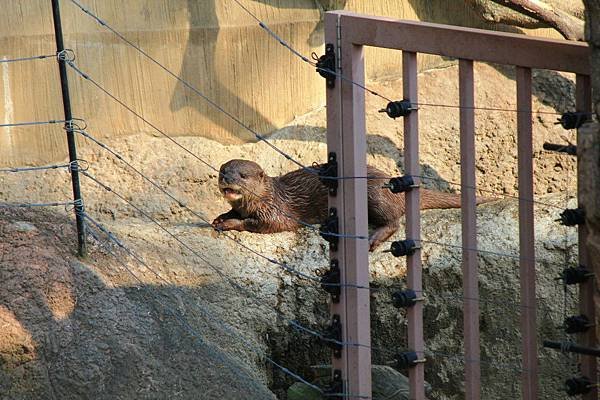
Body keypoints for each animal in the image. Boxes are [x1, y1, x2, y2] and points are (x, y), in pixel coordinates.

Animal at [213, 159, 490, 250]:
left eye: (243, 175)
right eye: (223, 170)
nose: (226, 178)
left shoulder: (277, 212)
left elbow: (261, 224)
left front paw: (229, 223)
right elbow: (232, 210)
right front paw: (220, 217)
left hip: (374, 194)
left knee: (394, 222)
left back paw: (374, 237)